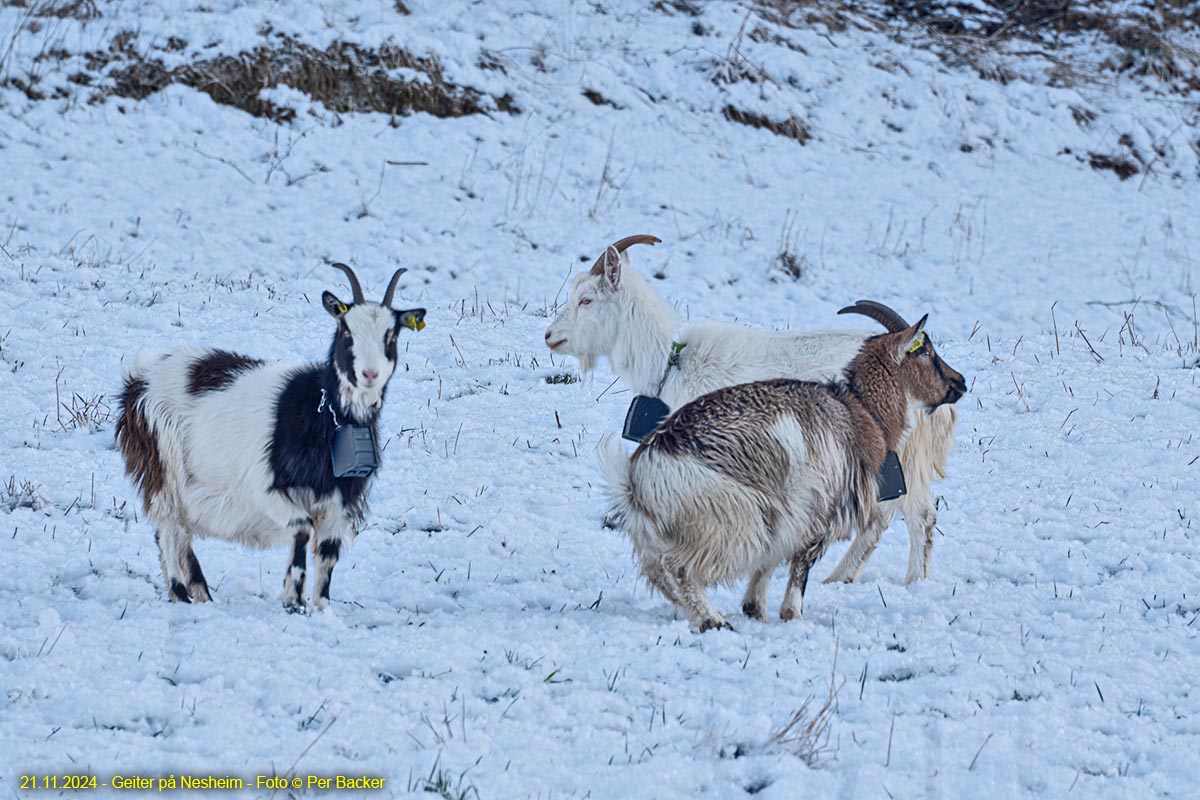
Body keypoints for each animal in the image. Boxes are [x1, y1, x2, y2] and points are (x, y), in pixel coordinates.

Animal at [112, 266, 429, 609]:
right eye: (346, 332)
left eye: (391, 335)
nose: (370, 374)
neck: (321, 413)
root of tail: (139, 378)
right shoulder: (265, 489)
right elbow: (302, 528)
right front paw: (294, 599)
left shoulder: (338, 502)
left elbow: (327, 556)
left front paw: (319, 607)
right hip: (164, 467)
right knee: (168, 529)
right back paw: (180, 593)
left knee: (181, 533)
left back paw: (202, 593)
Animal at [597, 309, 964, 633]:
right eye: (926, 352)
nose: (959, 382)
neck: (858, 410)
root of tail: (637, 480)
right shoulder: (816, 512)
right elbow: (800, 566)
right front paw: (792, 615)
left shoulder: (786, 517)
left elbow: (768, 564)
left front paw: (755, 609)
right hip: (731, 521)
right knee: (677, 569)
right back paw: (712, 620)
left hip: (667, 535)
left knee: (659, 573)